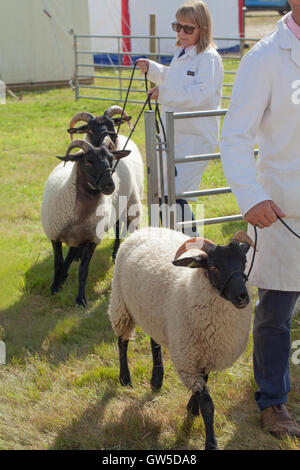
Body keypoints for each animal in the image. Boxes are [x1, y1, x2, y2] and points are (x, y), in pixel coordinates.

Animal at [108, 226, 253, 450]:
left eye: (243, 263)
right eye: (214, 266)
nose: (242, 297)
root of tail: (147, 228)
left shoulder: (205, 354)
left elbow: (203, 385)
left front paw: (191, 409)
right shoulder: (188, 360)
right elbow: (208, 405)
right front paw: (210, 442)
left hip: (156, 314)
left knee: (154, 342)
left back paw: (156, 379)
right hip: (120, 303)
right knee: (122, 341)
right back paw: (125, 379)